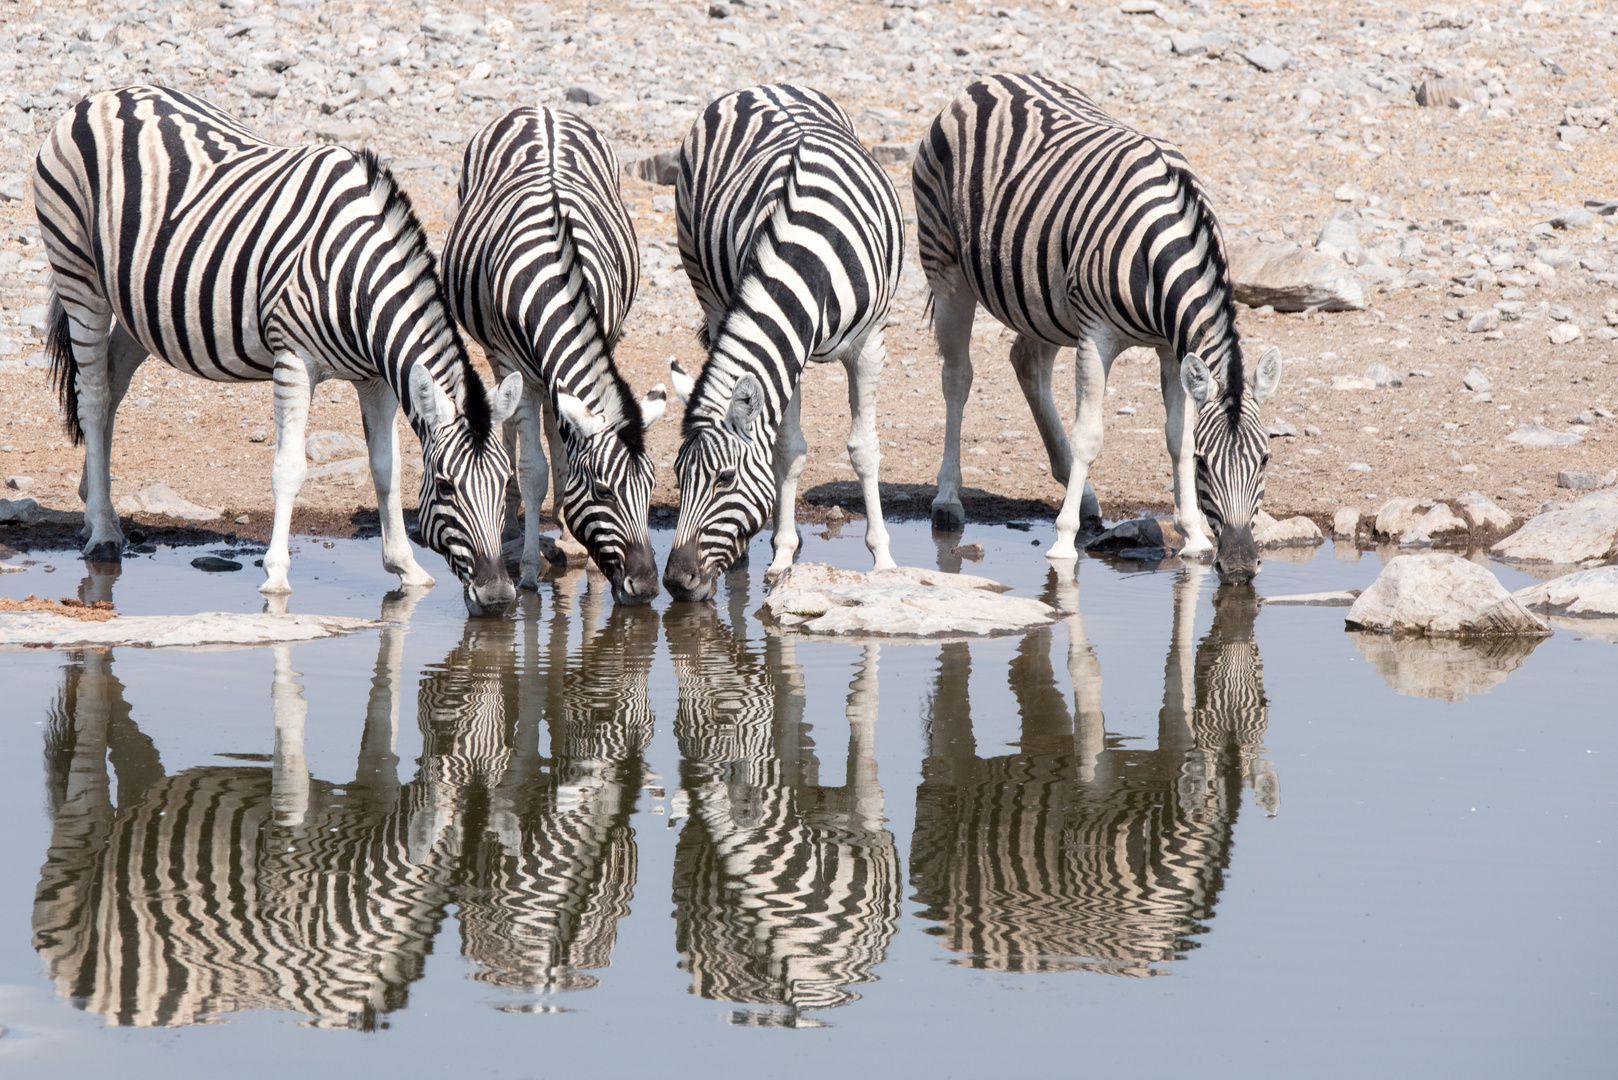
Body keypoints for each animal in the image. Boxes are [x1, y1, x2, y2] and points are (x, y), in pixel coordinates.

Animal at [34, 88, 520, 612]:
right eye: (447, 487)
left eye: (505, 484)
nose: (498, 596)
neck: (357, 282)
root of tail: (107, 95)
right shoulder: (293, 360)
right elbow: (290, 469)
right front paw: (277, 577)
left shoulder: (377, 378)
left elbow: (386, 468)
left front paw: (405, 567)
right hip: (80, 275)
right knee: (93, 396)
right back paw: (103, 533)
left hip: (140, 307)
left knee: (111, 382)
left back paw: (93, 502)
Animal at [440, 107, 666, 608]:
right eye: (603, 490)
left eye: (652, 487)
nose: (644, 587)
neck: (556, 284)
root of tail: (541, 108)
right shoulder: (515, 365)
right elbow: (533, 470)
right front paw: (526, 569)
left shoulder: (605, 337)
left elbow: (564, 450)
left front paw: (572, 540)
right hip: (499, 356)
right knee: (508, 432)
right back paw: (508, 515)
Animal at [660, 84, 912, 605]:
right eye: (676, 477)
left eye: (725, 479)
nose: (675, 582)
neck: (809, 249)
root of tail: (759, 87)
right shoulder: (786, 352)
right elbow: (787, 451)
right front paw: (780, 555)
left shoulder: (871, 342)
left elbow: (864, 448)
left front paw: (882, 558)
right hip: (707, 289)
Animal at [919, 74, 1281, 586]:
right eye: (1205, 465)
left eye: (1265, 459)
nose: (1239, 567)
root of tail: (990, 80)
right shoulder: (1096, 334)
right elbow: (1089, 436)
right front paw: (1063, 542)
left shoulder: (1171, 348)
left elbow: (1176, 435)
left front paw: (1192, 535)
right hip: (947, 267)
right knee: (957, 377)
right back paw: (948, 499)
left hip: (1038, 298)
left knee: (1027, 363)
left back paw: (1084, 493)